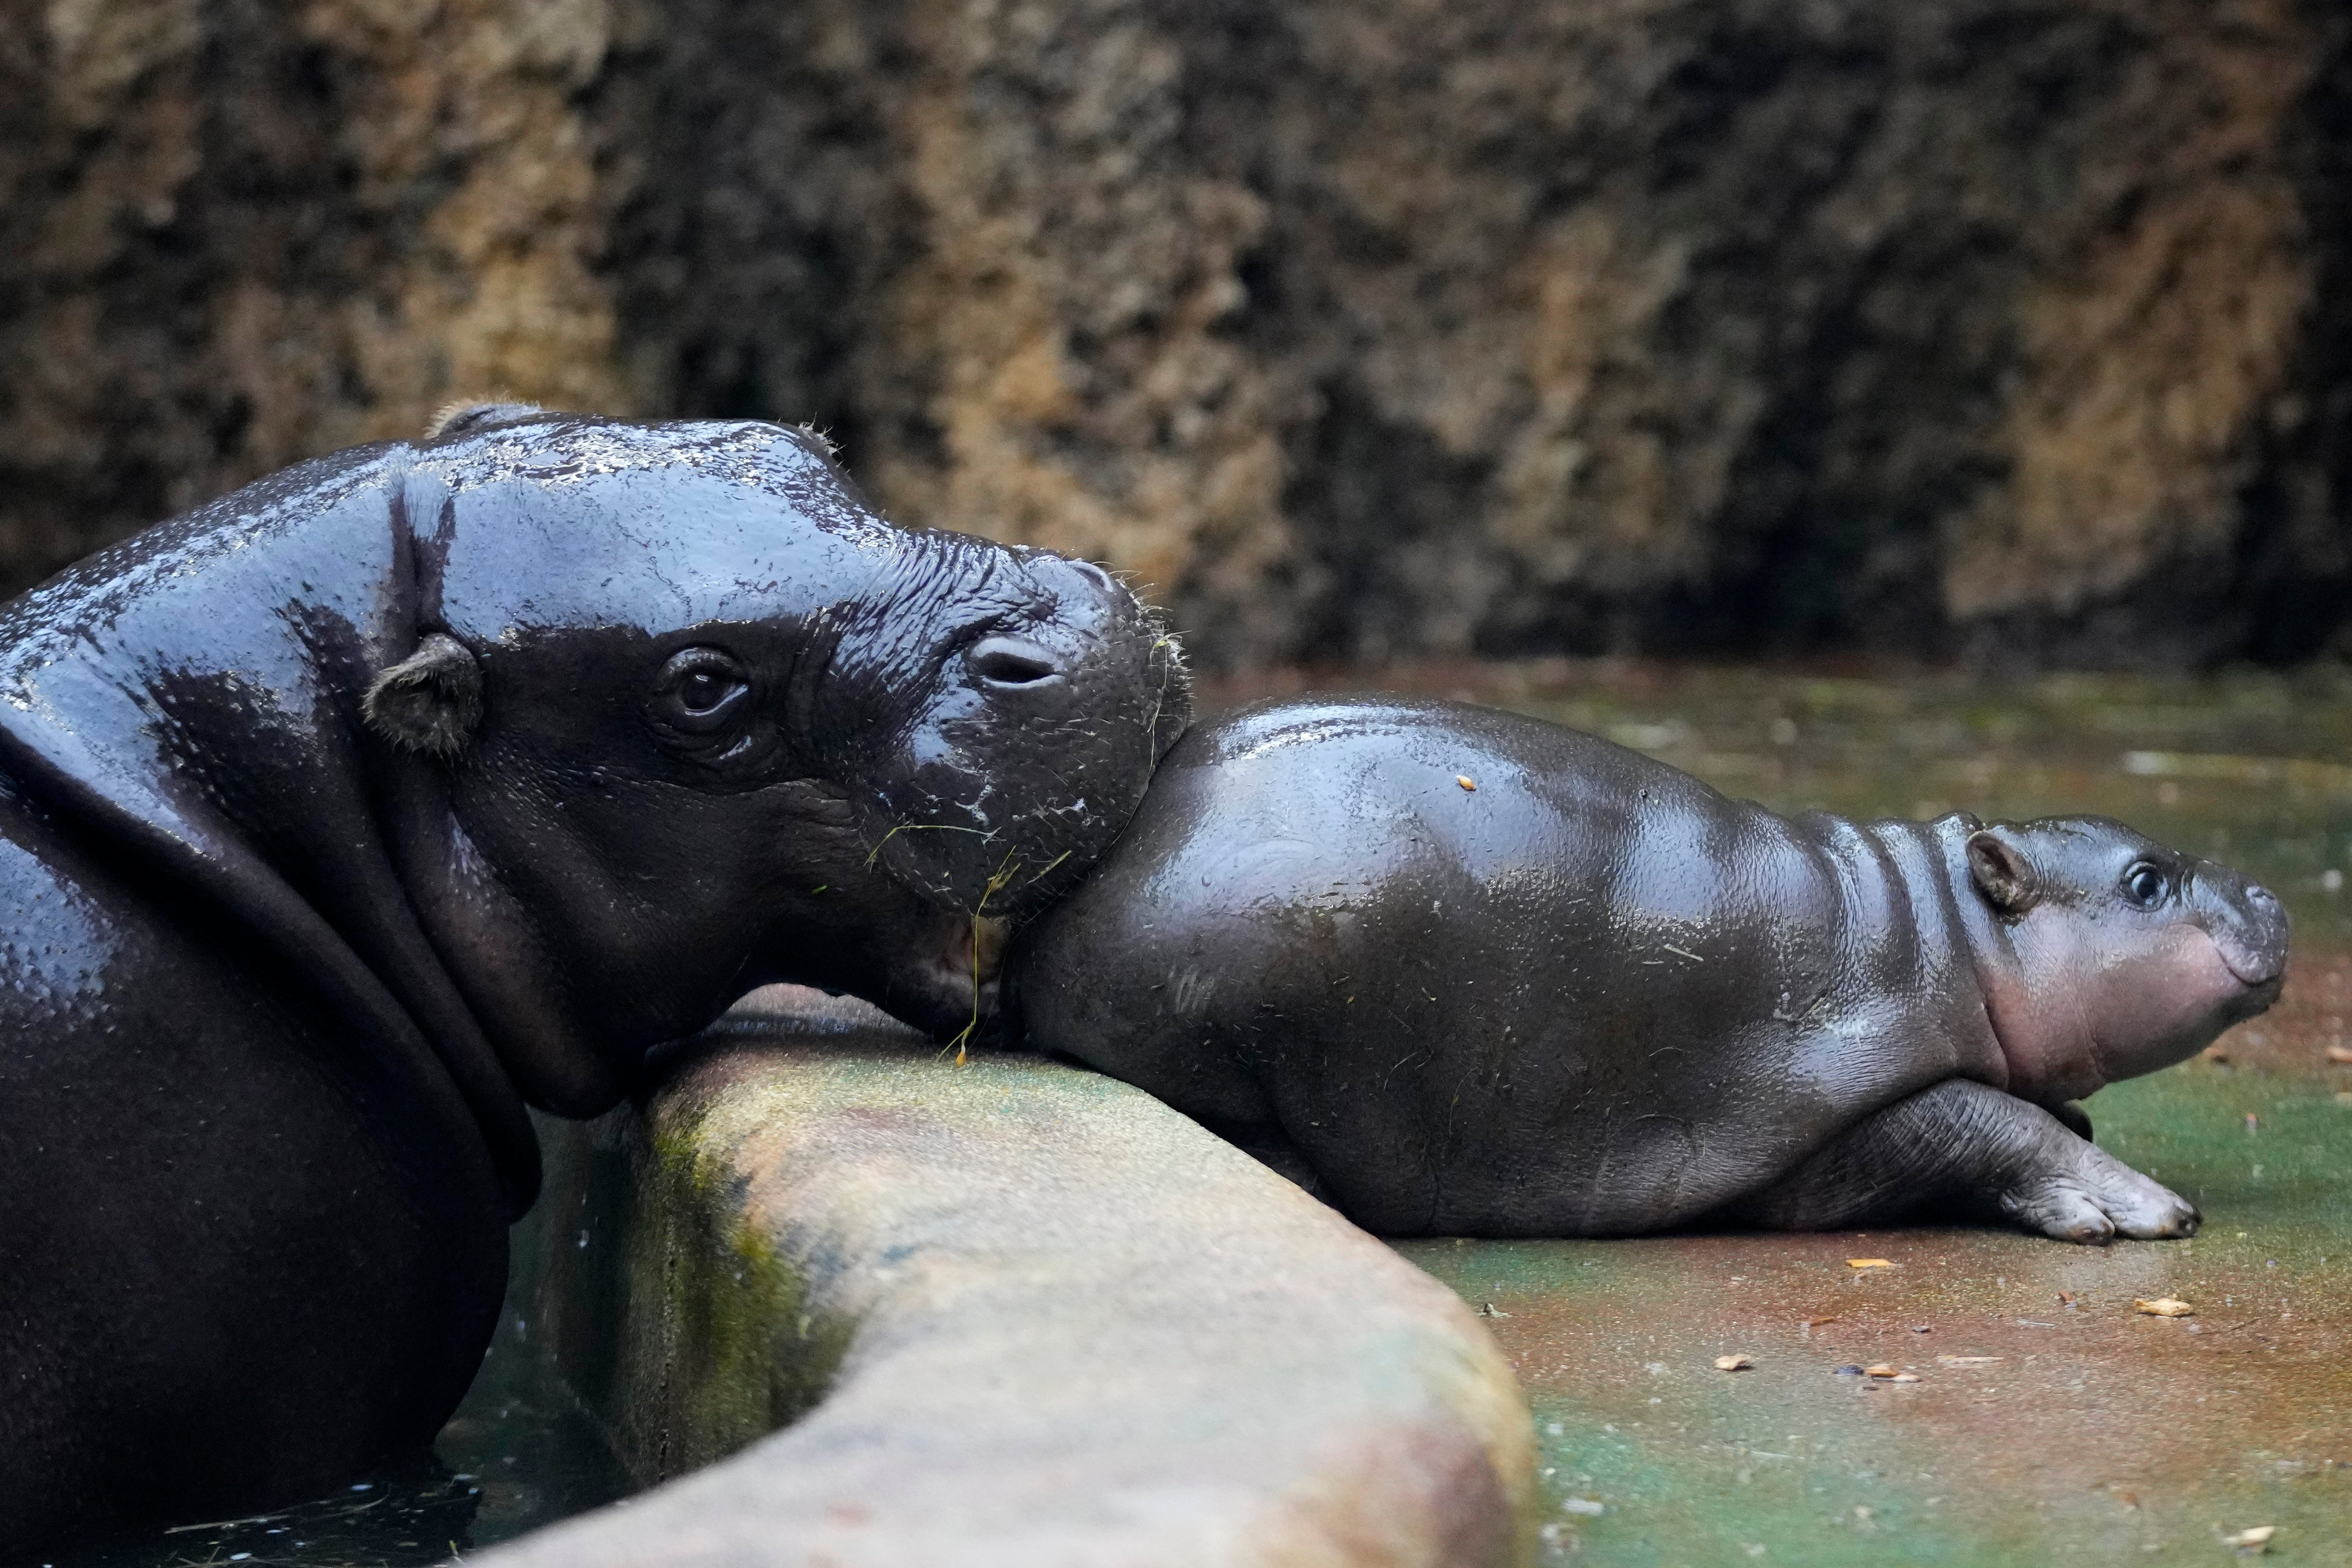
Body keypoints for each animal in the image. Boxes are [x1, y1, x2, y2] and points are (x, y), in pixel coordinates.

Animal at [1013, 695, 2285, 1243]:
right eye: (2145, 880)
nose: (2272, 896)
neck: (1946, 928)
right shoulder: (1829, 1106)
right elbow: (1982, 1119)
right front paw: (2136, 1204)